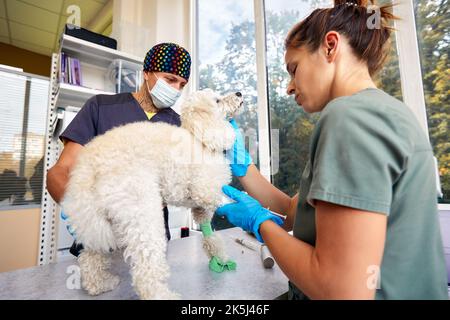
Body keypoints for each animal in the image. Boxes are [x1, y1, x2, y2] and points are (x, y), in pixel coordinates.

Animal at [62, 89, 243, 298]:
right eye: (218, 100)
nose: (239, 93)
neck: (199, 136)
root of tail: (89, 165)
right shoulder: (204, 189)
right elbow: (219, 197)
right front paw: (246, 206)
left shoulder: (200, 208)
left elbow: (209, 233)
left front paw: (219, 257)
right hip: (141, 209)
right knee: (146, 267)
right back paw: (161, 294)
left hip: (100, 219)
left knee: (91, 255)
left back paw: (99, 284)